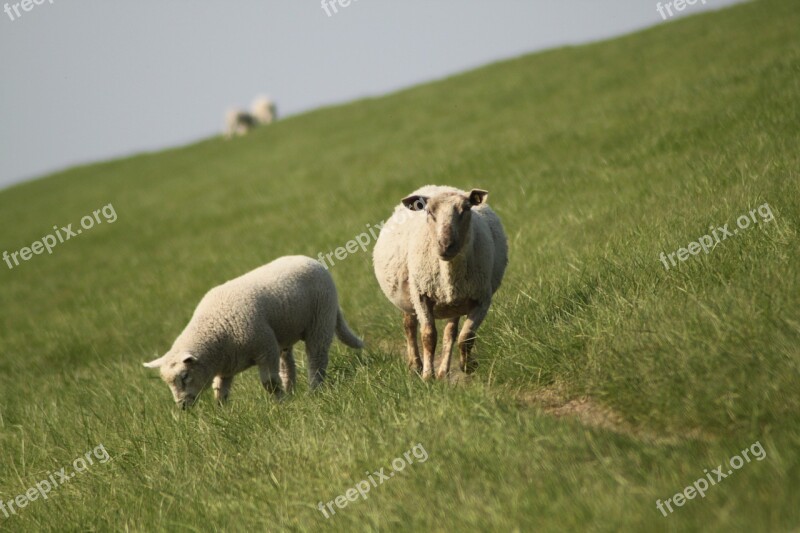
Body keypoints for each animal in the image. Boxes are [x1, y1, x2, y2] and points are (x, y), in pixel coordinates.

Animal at [145, 254, 364, 408]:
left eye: (184, 376)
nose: (182, 406)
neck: (215, 332)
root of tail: (310, 259)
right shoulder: (227, 366)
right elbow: (220, 390)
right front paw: (223, 413)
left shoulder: (265, 348)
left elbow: (269, 383)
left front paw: (281, 405)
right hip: (283, 336)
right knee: (287, 366)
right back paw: (291, 391)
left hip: (320, 321)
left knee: (317, 359)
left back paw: (314, 390)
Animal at [374, 185, 506, 380]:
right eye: (429, 212)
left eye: (466, 209)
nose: (445, 245)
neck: (448, 271)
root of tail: (436, 187)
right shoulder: (421, 296)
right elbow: (428, 336)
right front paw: (428, 376)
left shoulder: (482, 299)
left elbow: (466, 336)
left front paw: (468, 366)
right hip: (408, 296)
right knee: (410, 327)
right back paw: (416, 365)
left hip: (455, 303)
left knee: (450, 333)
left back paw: (444, 371)